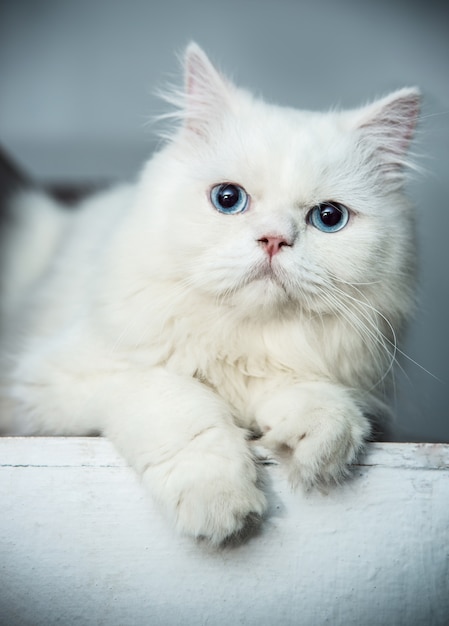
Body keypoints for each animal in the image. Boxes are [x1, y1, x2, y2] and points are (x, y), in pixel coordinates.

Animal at [0, 44, 420, 540]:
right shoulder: (53, 383)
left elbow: (316, 399)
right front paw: (220, 501)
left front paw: (315, 444)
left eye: (329, 217)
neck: (239, 341)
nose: (274, 240)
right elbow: (179, 404)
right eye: (228, 199)